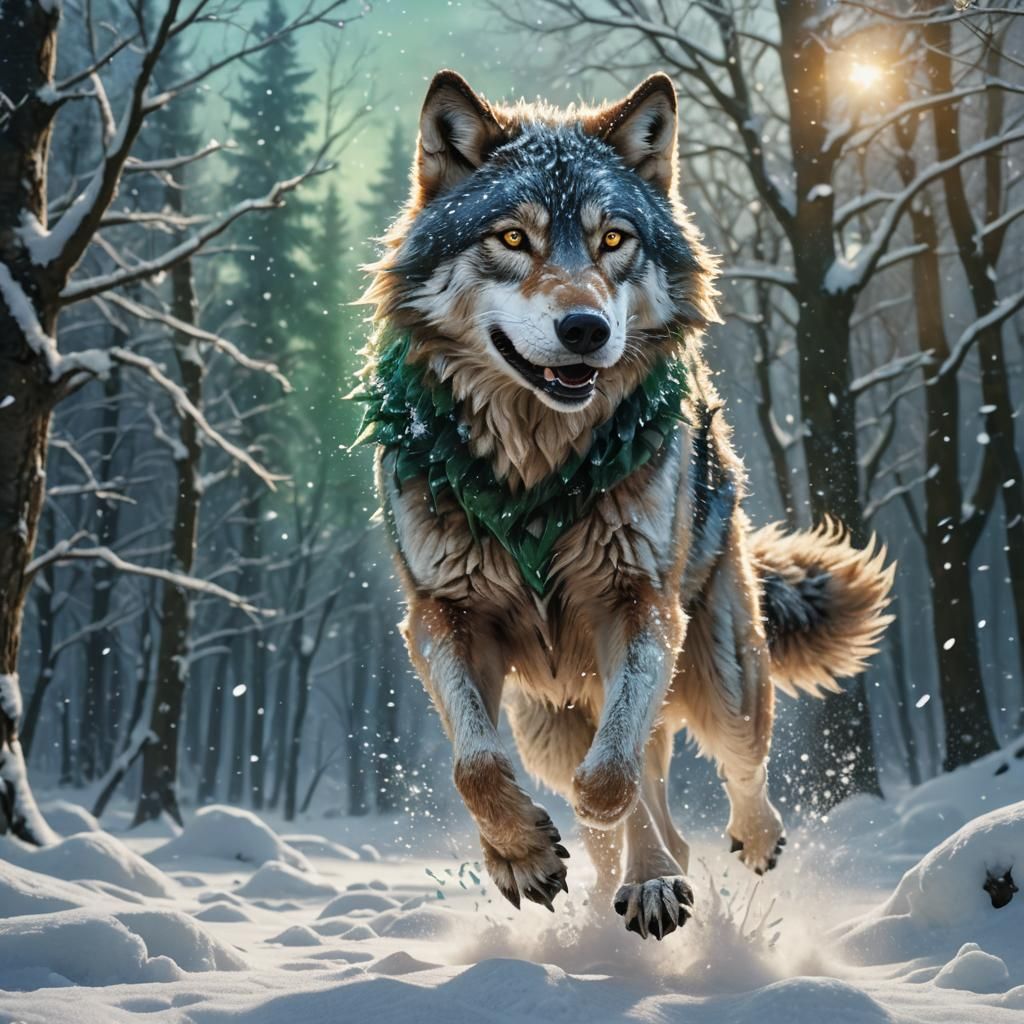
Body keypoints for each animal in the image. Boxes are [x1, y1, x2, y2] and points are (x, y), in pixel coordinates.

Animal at [356, 69, 894, 940]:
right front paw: (521, 855)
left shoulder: (637, 606)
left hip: (718, 671)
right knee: (627, 791)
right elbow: (477, 763)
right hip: (548, 720)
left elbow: (610, 778)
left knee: (718, 772)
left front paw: (632, 860)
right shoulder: (441, 615)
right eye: (513, 238)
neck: (536, 476)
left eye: (614, 241)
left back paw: (714, 856)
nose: (585, 328)